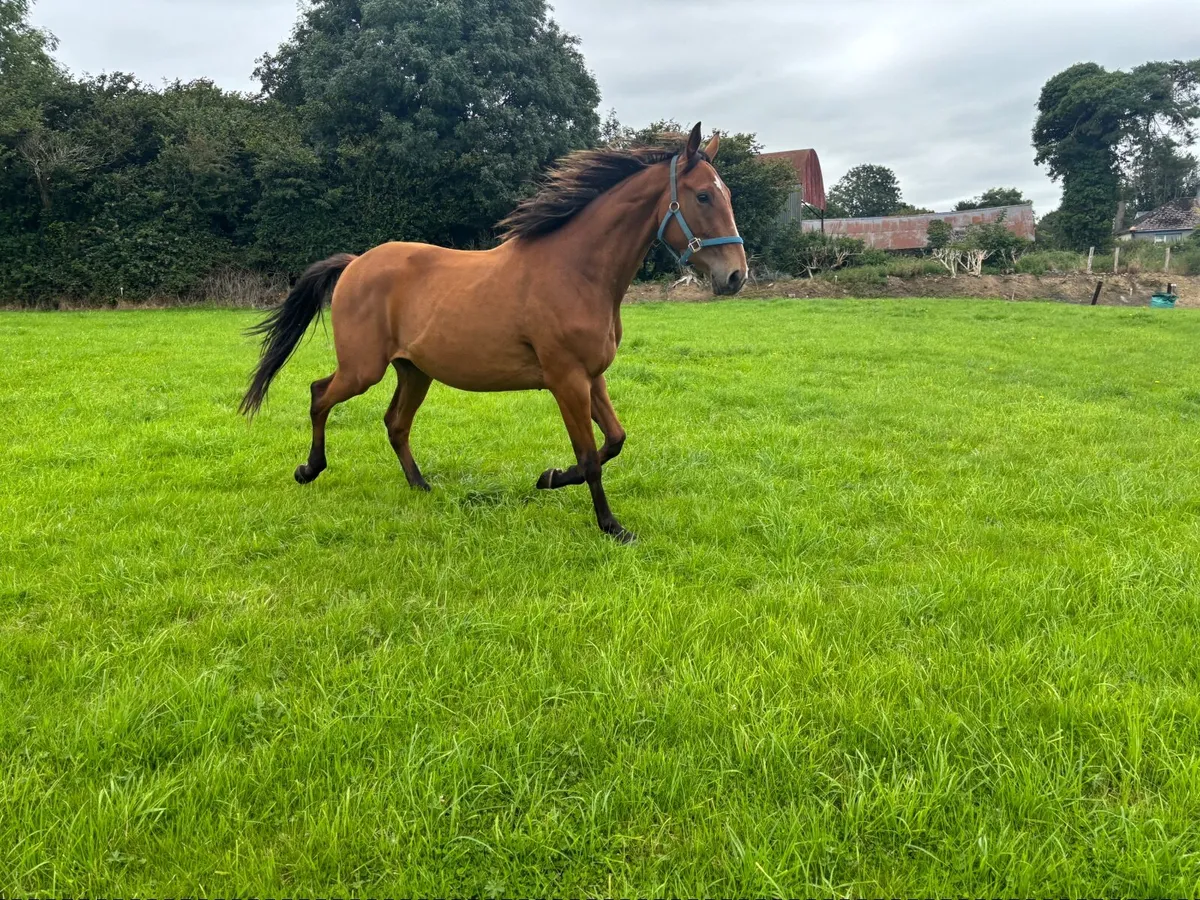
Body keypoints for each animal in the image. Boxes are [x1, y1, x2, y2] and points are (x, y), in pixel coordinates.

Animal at [239, 121, 747, 542]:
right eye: (703, 197)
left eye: (726, 196)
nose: (736, 276)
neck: (576, 271)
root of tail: (354, 264)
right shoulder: (566, 380)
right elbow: (589, 457)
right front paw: (611, 526)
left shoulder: (592, 377)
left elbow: (615, 441)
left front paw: (549, 477)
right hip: (363, 368)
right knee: (319, 394)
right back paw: (309, 469)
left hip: (414, 371)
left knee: (395, 423)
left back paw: (420, 485)